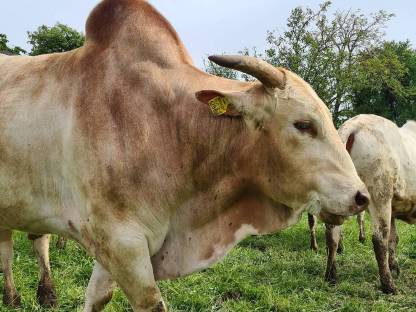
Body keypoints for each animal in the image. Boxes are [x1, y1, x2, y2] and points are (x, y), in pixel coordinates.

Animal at [308, 115, 416, 294]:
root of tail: (355, 123)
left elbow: (394, 238)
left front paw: (394, 266)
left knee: (332, 235)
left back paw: (331, 276)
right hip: (380, 192)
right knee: (379, 238)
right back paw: (389, 286)